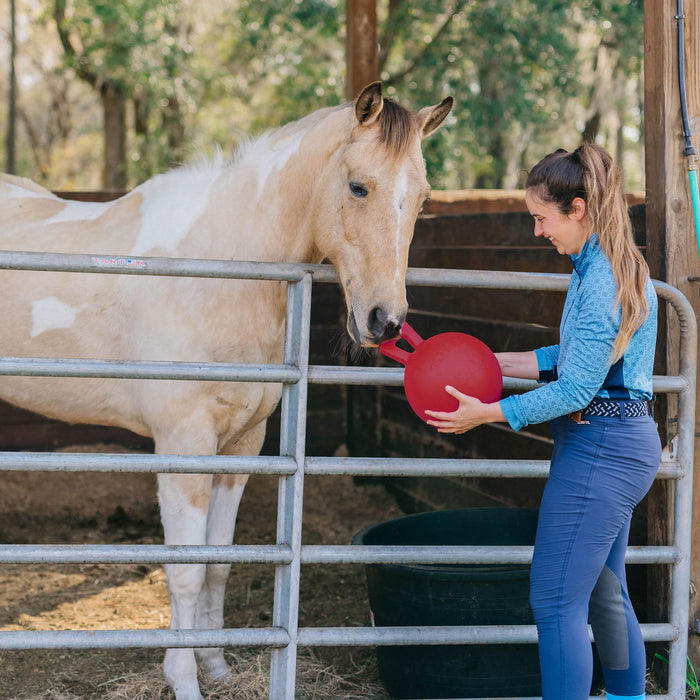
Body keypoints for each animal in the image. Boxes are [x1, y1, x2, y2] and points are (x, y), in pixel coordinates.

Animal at [0, 82, 452, 699]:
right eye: (359, 186)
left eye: (424, 198)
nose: (385, 322)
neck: (221, 267)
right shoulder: (183, 445)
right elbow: (187, 570)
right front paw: (184, 681)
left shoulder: (240, 445)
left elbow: (219, 562)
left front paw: (216, 668)